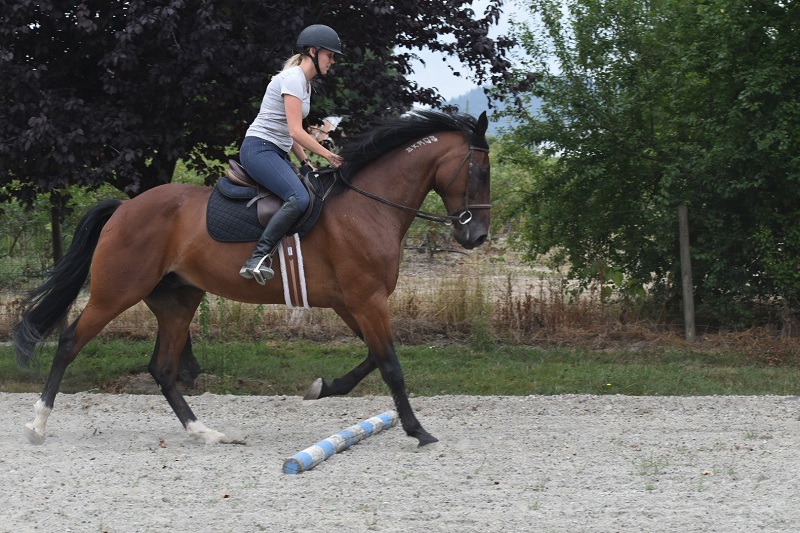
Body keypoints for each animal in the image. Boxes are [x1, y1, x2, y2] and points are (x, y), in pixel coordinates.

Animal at [14, 110, 491, 447]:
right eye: (481, 172)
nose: (478, 236)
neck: (368, 206)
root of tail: (125, 207)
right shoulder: (367, 300)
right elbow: (390, 364)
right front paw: (418, 430)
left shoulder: (353, 302)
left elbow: (375, 357)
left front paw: (324, 388)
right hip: (117, 292)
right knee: (70, 343)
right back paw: (37, 424)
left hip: (177, 300)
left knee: (163, 368)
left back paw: (204, 433)